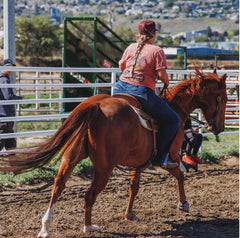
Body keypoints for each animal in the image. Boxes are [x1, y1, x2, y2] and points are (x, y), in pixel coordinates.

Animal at [0, 66, 227, 236]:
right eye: (223, 98)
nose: (219, 128)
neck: (176, 109)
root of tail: (96, 106)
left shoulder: (139, 163)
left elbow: (133, 188)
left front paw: (129, 215)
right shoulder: (167, 158)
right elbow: (180, 174)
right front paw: (183, 204)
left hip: (70, 158)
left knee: (58, 186)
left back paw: (46, 228)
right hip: (104, 168)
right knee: (89, 195)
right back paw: (88, 227)